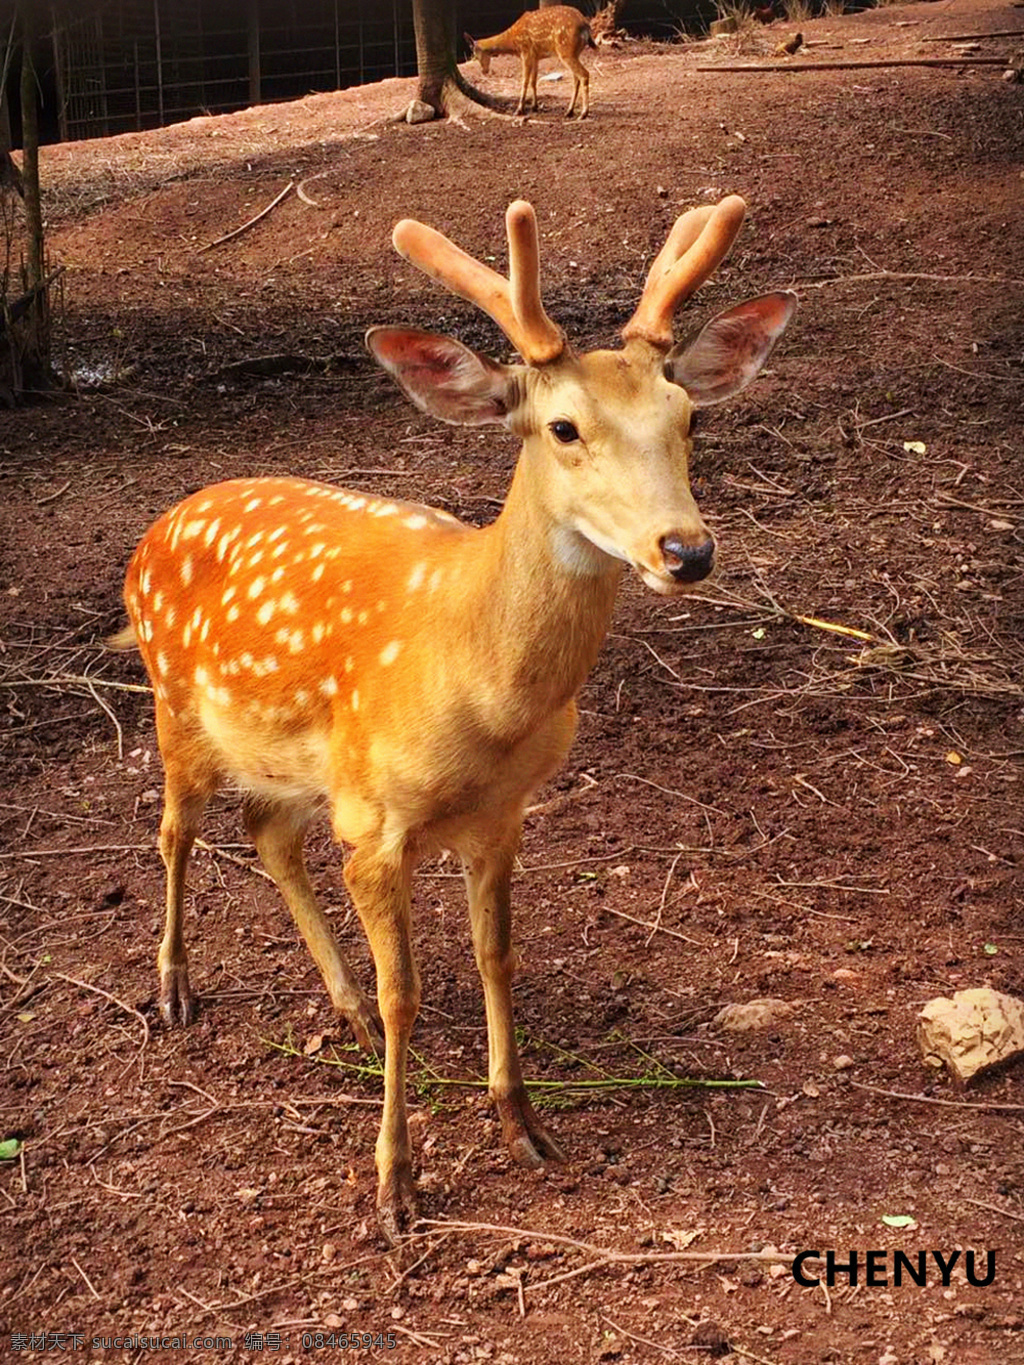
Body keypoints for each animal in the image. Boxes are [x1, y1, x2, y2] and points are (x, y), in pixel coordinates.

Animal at [114, 195, 795, 1241]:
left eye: (687, 417)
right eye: (562, 426)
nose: (686, 550)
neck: (479, 697)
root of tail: (149, 536)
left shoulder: (500, 815)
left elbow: (495, 957)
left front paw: (522, 1122)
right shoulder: (375, 819)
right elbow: (410, 992)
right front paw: (395, 1183)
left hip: (294, 763)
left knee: (265, 830)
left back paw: (341, 1004)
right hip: (175, 704)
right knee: (174, 831)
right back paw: (175, 987)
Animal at [465, 6, 595, 118]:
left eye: (475, 56)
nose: (484, 71)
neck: (513, 44)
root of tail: (585, 26)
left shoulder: (526, 52)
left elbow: (524, 81)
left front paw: (519, 110)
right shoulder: (535, 56)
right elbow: (533, 81)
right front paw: (534, 106)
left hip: (565, 50)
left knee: (584, 74)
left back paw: (583, 113)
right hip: (574, 53)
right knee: (576, 78)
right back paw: (569, 111)